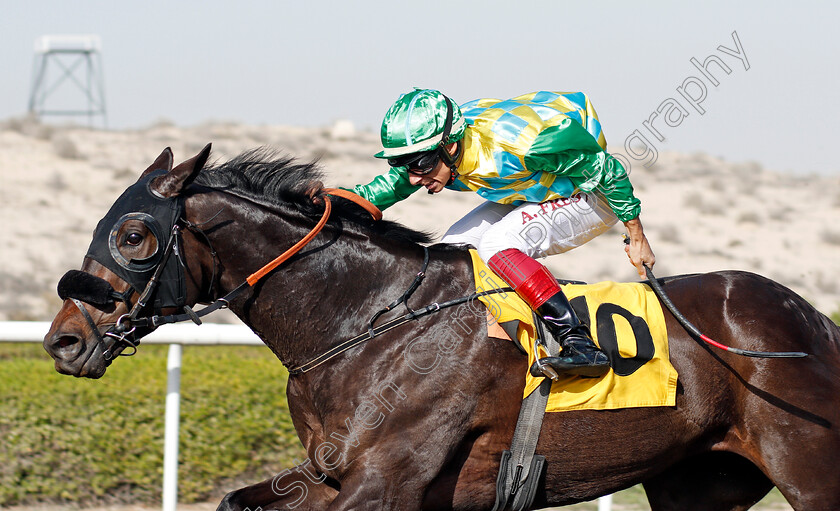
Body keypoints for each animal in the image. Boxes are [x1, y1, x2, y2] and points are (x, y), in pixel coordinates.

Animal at [44, 146, 840, 510]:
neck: (367, 321)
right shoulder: (329, 474)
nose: (63, 340)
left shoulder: (385, 480)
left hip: (807, 467)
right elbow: (238, 498)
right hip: (698, 480)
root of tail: (815, 321)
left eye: (136, 236)